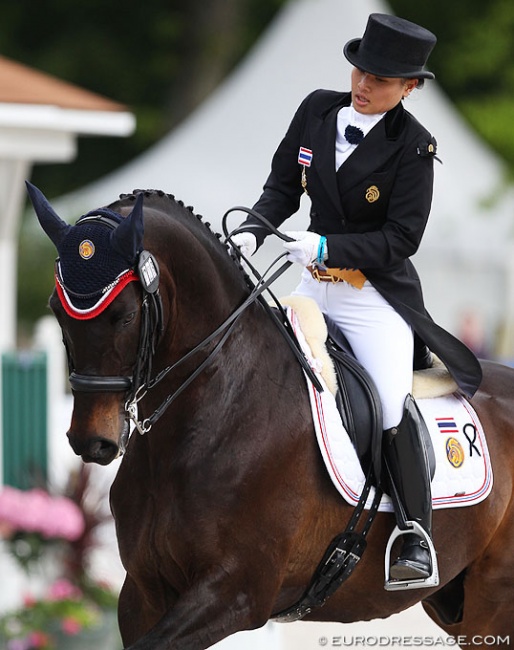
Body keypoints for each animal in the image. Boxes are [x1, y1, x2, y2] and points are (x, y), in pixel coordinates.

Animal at [27, 184, 512, 648]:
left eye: (125, 316)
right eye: (55, 309)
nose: (92, 440)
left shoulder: (234, 593)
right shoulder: (143, 593)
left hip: (491, 605)